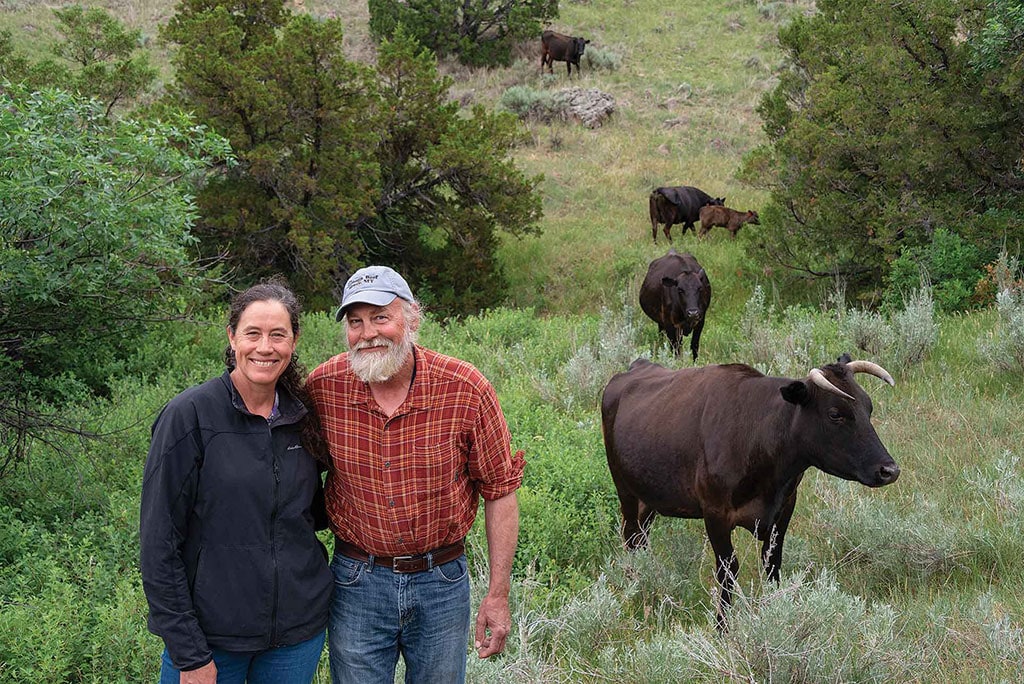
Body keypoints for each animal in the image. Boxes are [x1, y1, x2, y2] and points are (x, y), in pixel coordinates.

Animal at [602, 356, 901, 626]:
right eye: (835, 414)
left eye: (869, 408)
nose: (889, 470)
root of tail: (635, 367)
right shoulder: (715, 513)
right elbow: (728, 569)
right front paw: (722, 628)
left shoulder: (785, 507)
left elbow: (772, 562)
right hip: (625, 491)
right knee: (631, 537)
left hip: (648, 499)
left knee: (641, 539)